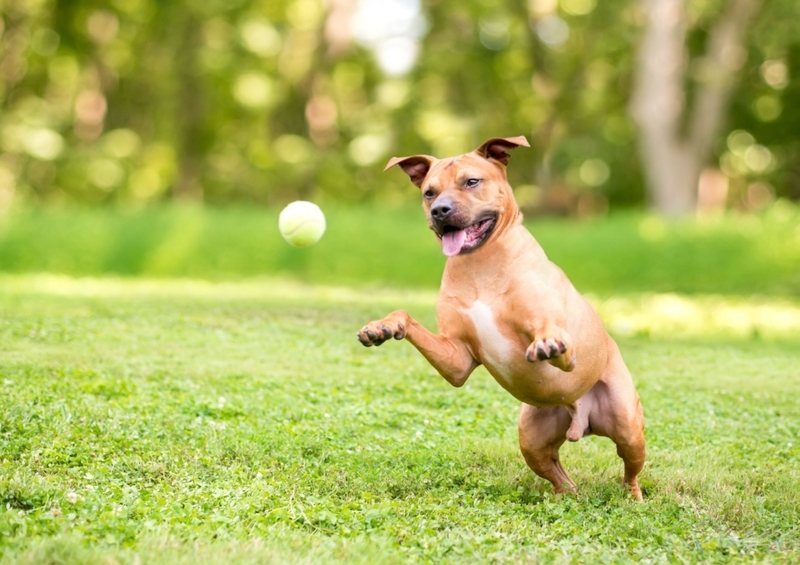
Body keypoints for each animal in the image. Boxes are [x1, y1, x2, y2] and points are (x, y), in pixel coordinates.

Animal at [360, 135, 648, 498]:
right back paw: (565, 496)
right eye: (429, 192)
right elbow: (406, 316)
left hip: (627, 427)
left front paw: (546, 344)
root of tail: (581, 420)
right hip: (533, 437)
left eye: (471, 181)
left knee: (630, 472)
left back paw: (633, 499)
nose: (440, 210)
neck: (480, 264)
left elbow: (553, 339)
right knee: (560, 476)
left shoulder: (566, 350)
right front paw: (383, 325)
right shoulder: (457, 360)